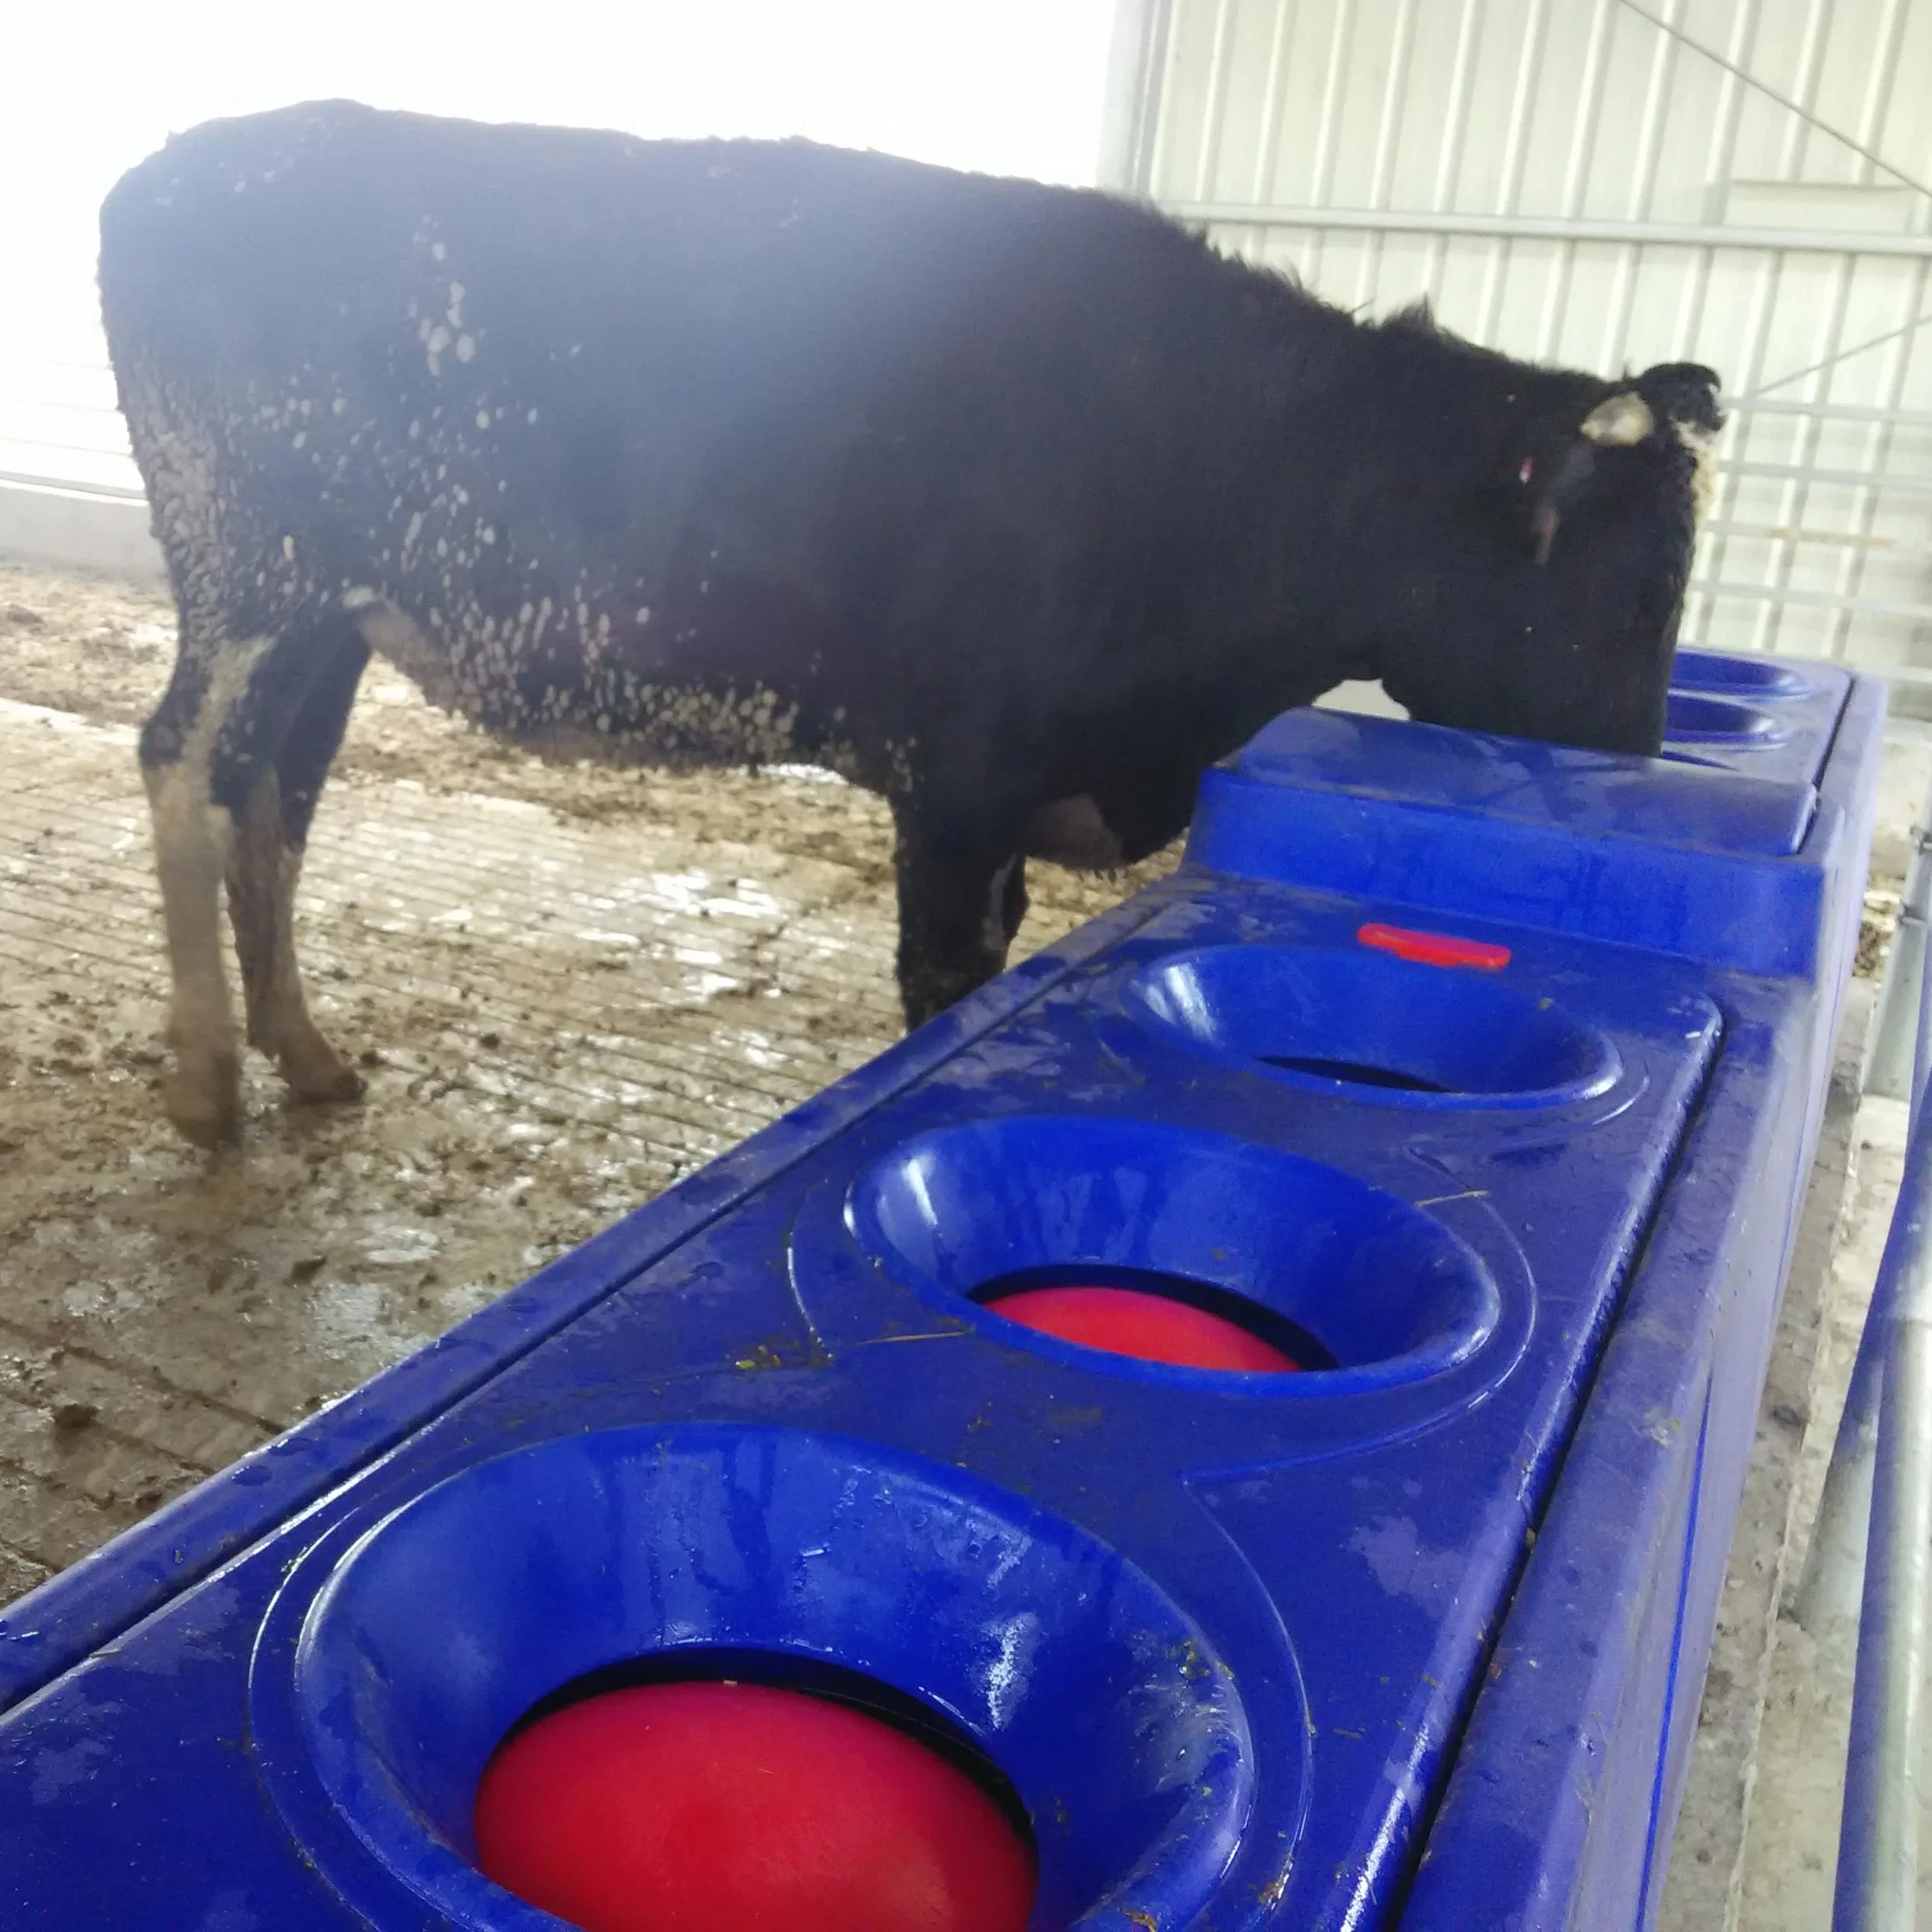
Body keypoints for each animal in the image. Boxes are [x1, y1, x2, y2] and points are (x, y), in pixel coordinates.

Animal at [98, 100, 1721, 1148]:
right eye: (1635, 592)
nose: (1641, 777)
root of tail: (181, 167)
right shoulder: (961, 777)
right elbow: (940, 988)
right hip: (244, 570)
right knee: (181, 758)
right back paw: (205, 1078)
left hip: (329, 612)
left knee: (273, 790)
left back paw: (302, 1052)